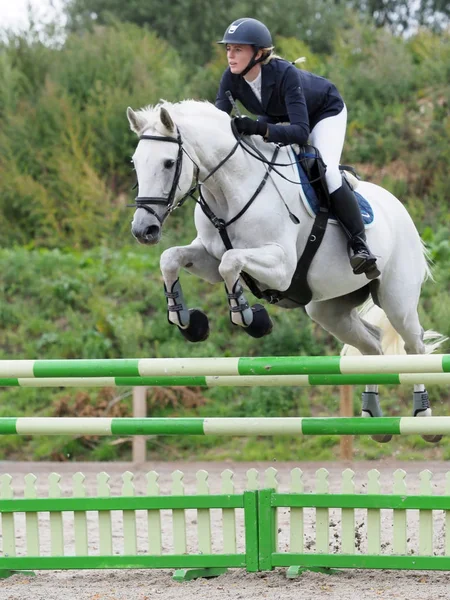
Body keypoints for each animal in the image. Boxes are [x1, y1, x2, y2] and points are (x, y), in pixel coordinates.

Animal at [126, 101, 446, 440]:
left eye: (169, 162)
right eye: (136, 163)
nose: (143, 230)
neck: (229, 189)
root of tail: (399, 208)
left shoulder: (281, 267)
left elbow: (231, 263)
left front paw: (250, 318)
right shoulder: (208, 259)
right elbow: (171, 258)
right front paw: (187, 321)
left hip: (397, 300)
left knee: (414, 346)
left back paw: (423, 418)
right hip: (327, 310)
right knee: (372, 346)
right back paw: (372, 417)